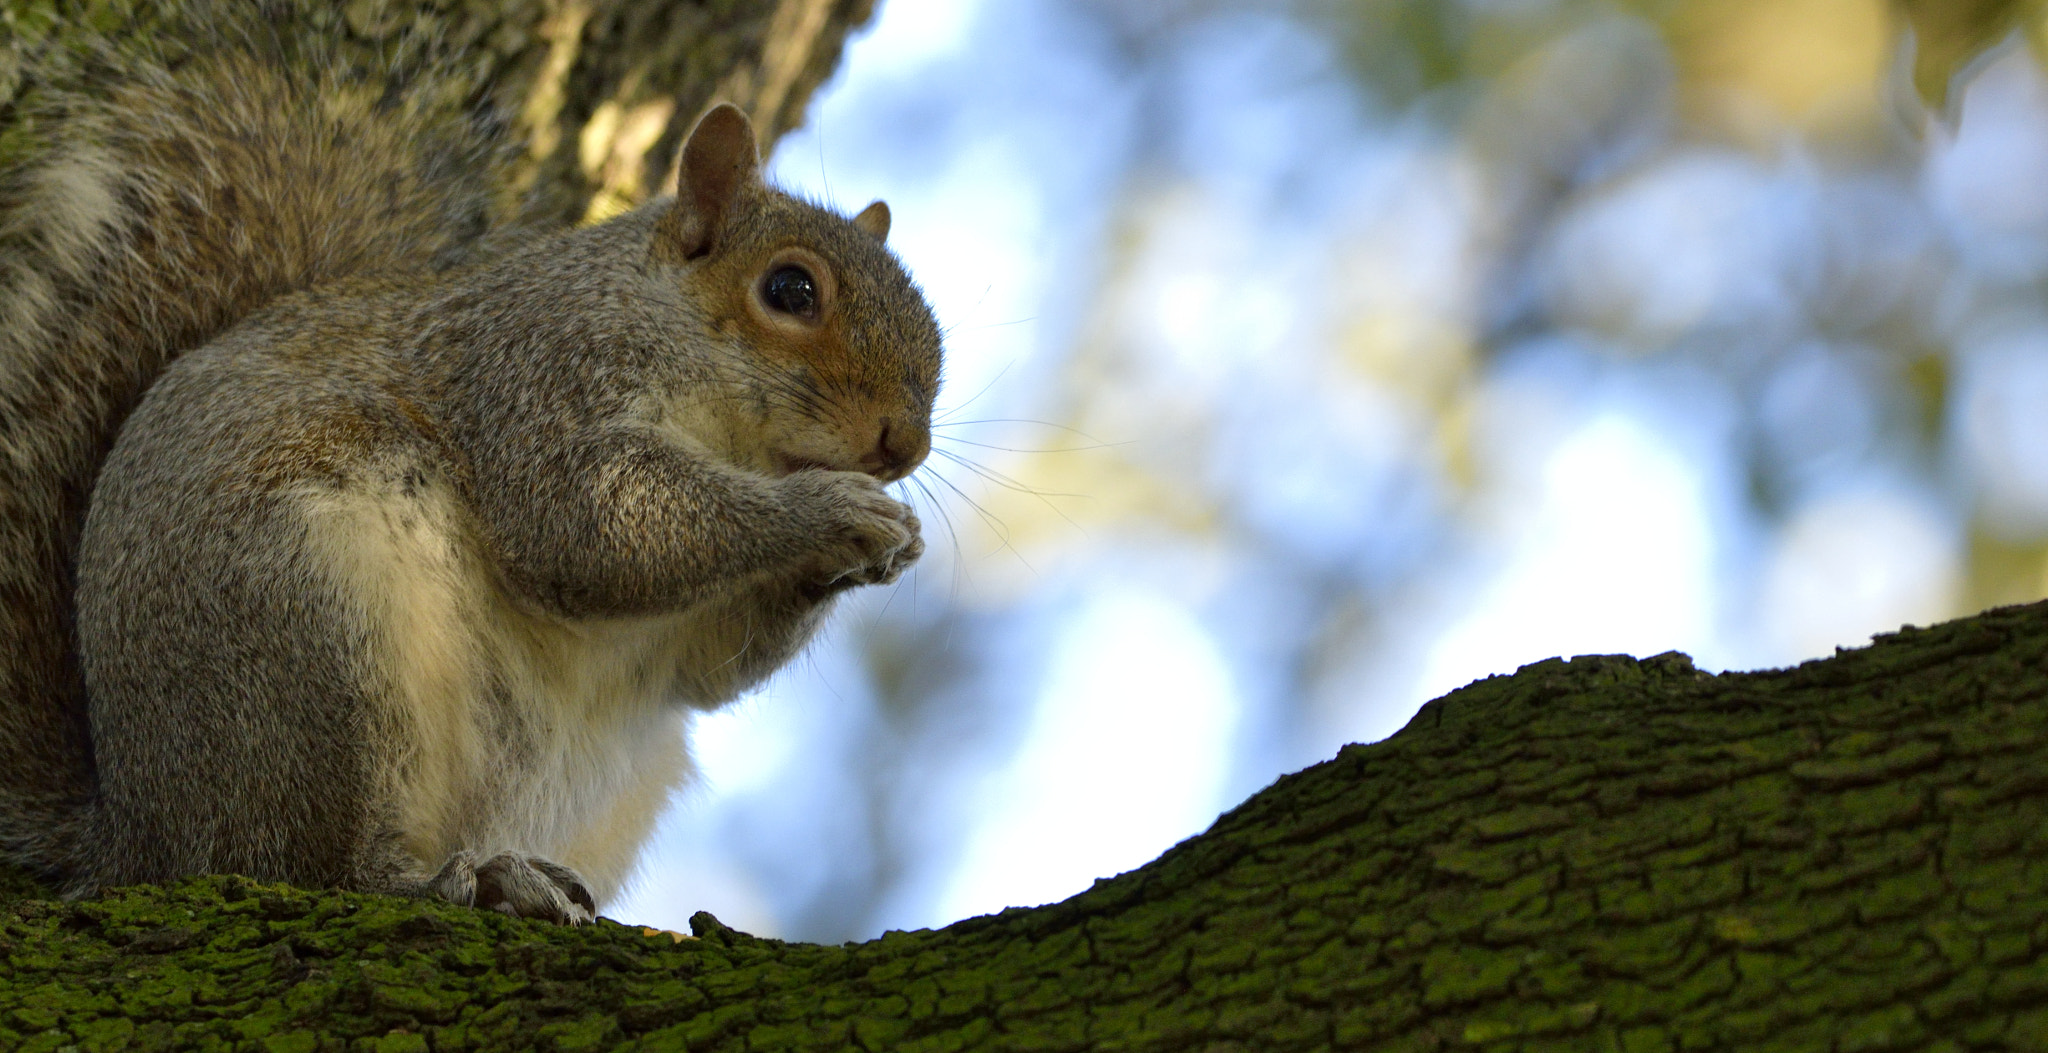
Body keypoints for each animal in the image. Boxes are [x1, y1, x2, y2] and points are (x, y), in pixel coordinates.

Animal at [0, 30, 942, 917]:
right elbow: (592, 524)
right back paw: (446, 880)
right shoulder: (535, 381)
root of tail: (138, 834)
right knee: (308, 867)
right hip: (308, 641)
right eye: (789, 289)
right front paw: (827, 510)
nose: (903, 445)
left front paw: (884, 541)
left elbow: (708, 669)